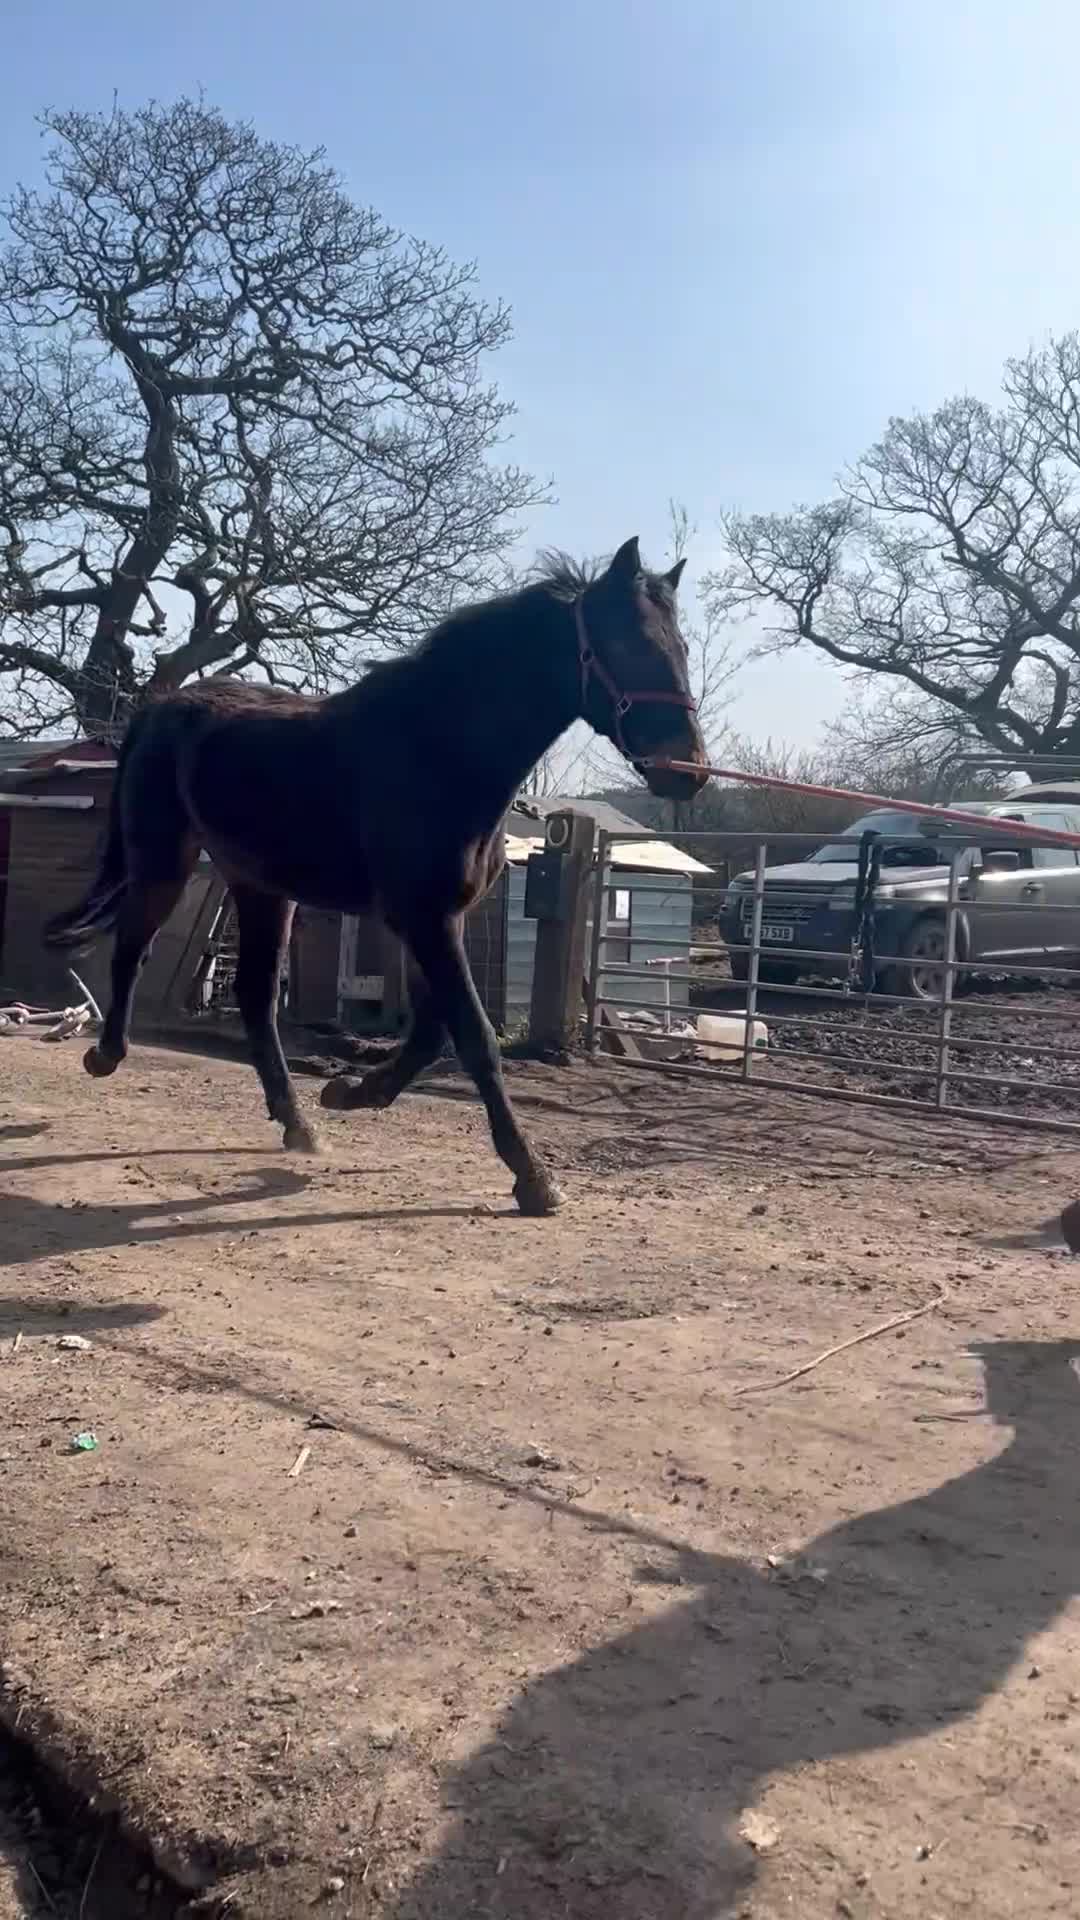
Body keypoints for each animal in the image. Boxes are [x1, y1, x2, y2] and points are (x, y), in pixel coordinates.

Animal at [44, 537, 707, 1214]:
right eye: (628, 644)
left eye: (679, 647)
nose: (690, 771)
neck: (440, 749)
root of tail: (160, 708)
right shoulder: (423, 917)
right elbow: (473, 1036)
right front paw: (532, 1175)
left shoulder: (437, 918)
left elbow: (433, 1032)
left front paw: (353, 1091)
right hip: (164, 861)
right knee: (132, 948)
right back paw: (105, 1055)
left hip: (262, 888)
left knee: (254, 995)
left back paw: (298, 1123)